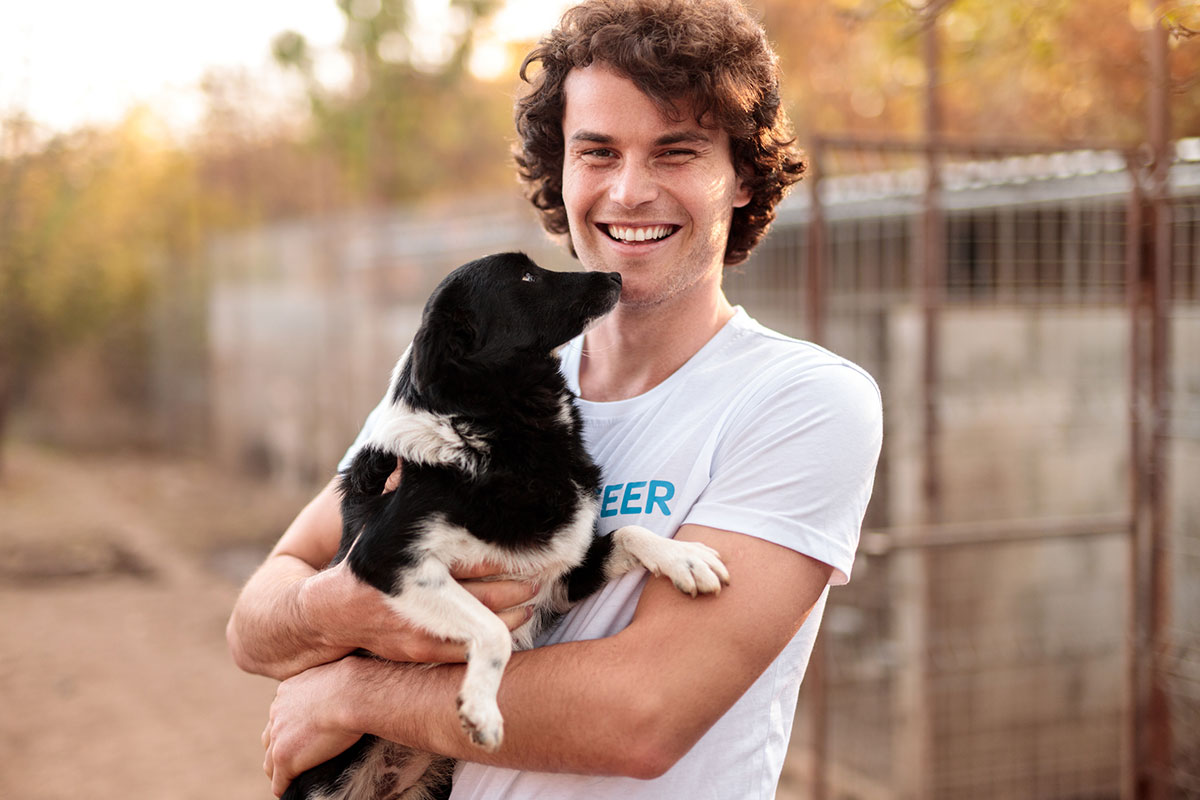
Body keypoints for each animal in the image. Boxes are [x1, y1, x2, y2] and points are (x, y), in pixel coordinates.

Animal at [284, 253, 724, 800]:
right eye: (527, 277)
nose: (615, 276)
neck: (510, 435)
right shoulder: (388, 556)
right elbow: (491, 629)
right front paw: (482, 708)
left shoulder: (561, 576)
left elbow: (631, 533)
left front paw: (686, 559)